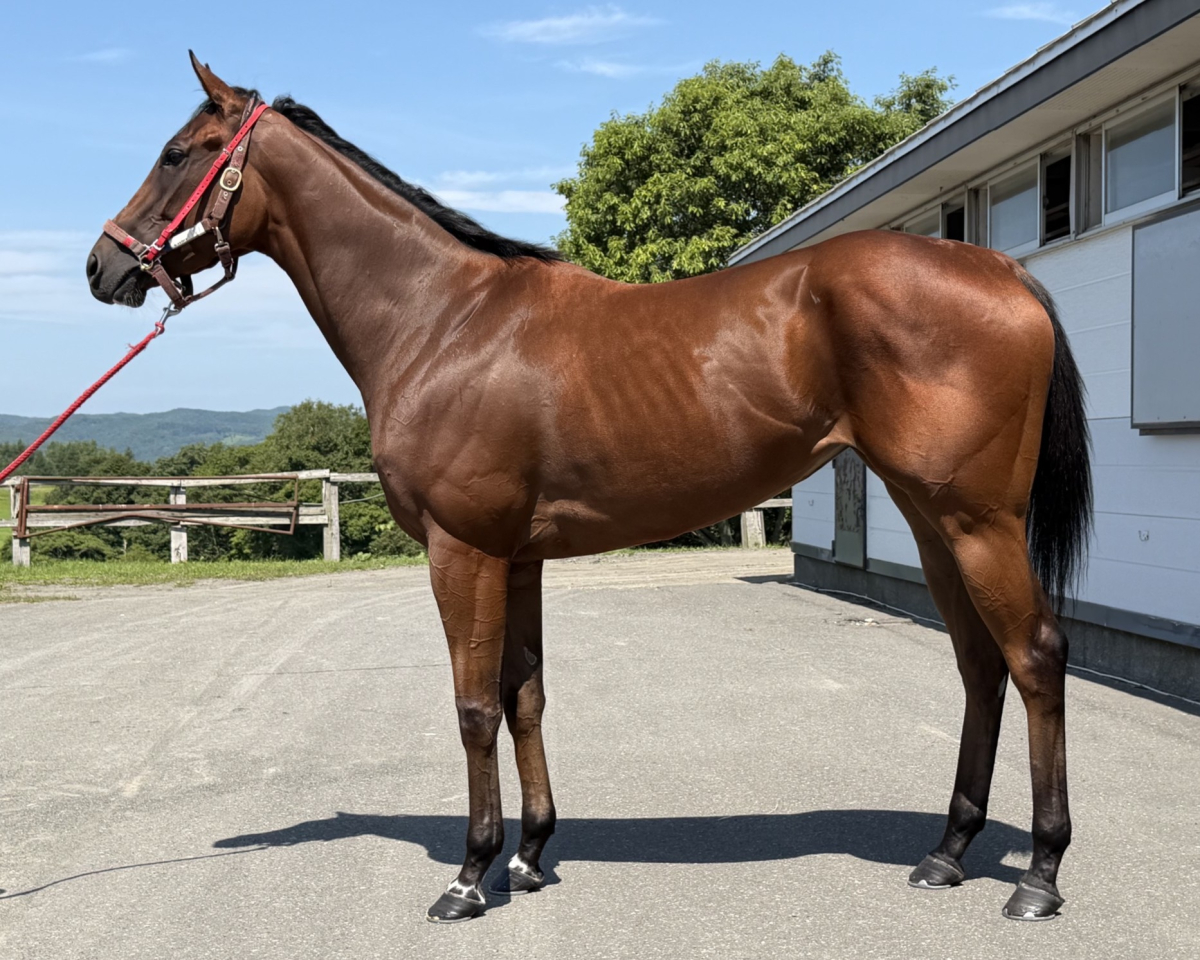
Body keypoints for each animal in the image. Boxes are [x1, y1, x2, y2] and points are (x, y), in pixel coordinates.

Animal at [86, 55, 1091, 924]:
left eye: (178, 152)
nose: (104, 267)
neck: (442, 320)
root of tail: (1001, 268)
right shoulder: (519, 556)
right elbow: (524, 694)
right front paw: (529, 856)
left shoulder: (463, 549)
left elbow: (473, 705)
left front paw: (469, 875)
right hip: (931, 521)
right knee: (979, 665)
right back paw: (947, 855)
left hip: (977, 520)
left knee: (1036, 657)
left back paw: (1038, 875)